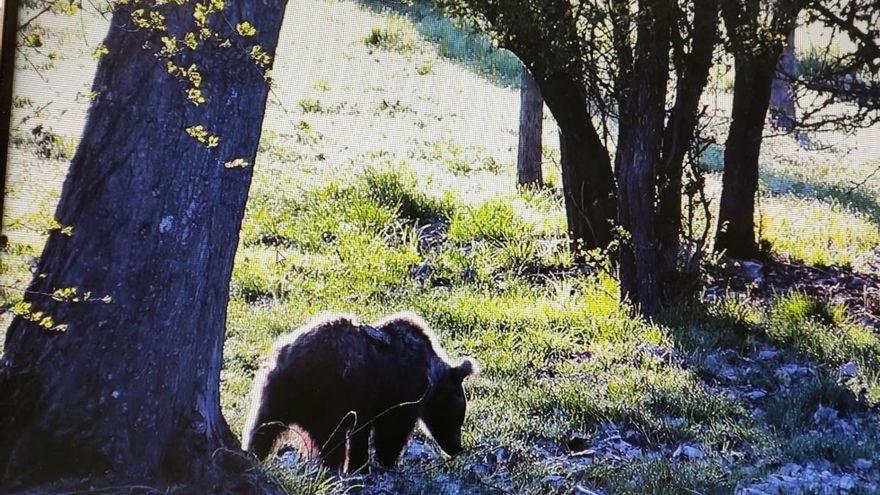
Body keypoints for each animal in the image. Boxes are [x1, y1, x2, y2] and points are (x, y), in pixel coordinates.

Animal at [241, 314, 478, 472]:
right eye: (457, 417)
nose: (457, 448)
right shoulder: (397, 395)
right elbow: (390, 433)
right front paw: (384, 462)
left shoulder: (369, 404)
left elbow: (361, 434)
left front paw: (360, 464)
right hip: (325, 394)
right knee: (331, 437)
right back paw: (333, 465)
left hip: (274, 393)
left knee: (262, 427)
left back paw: (252, 454)